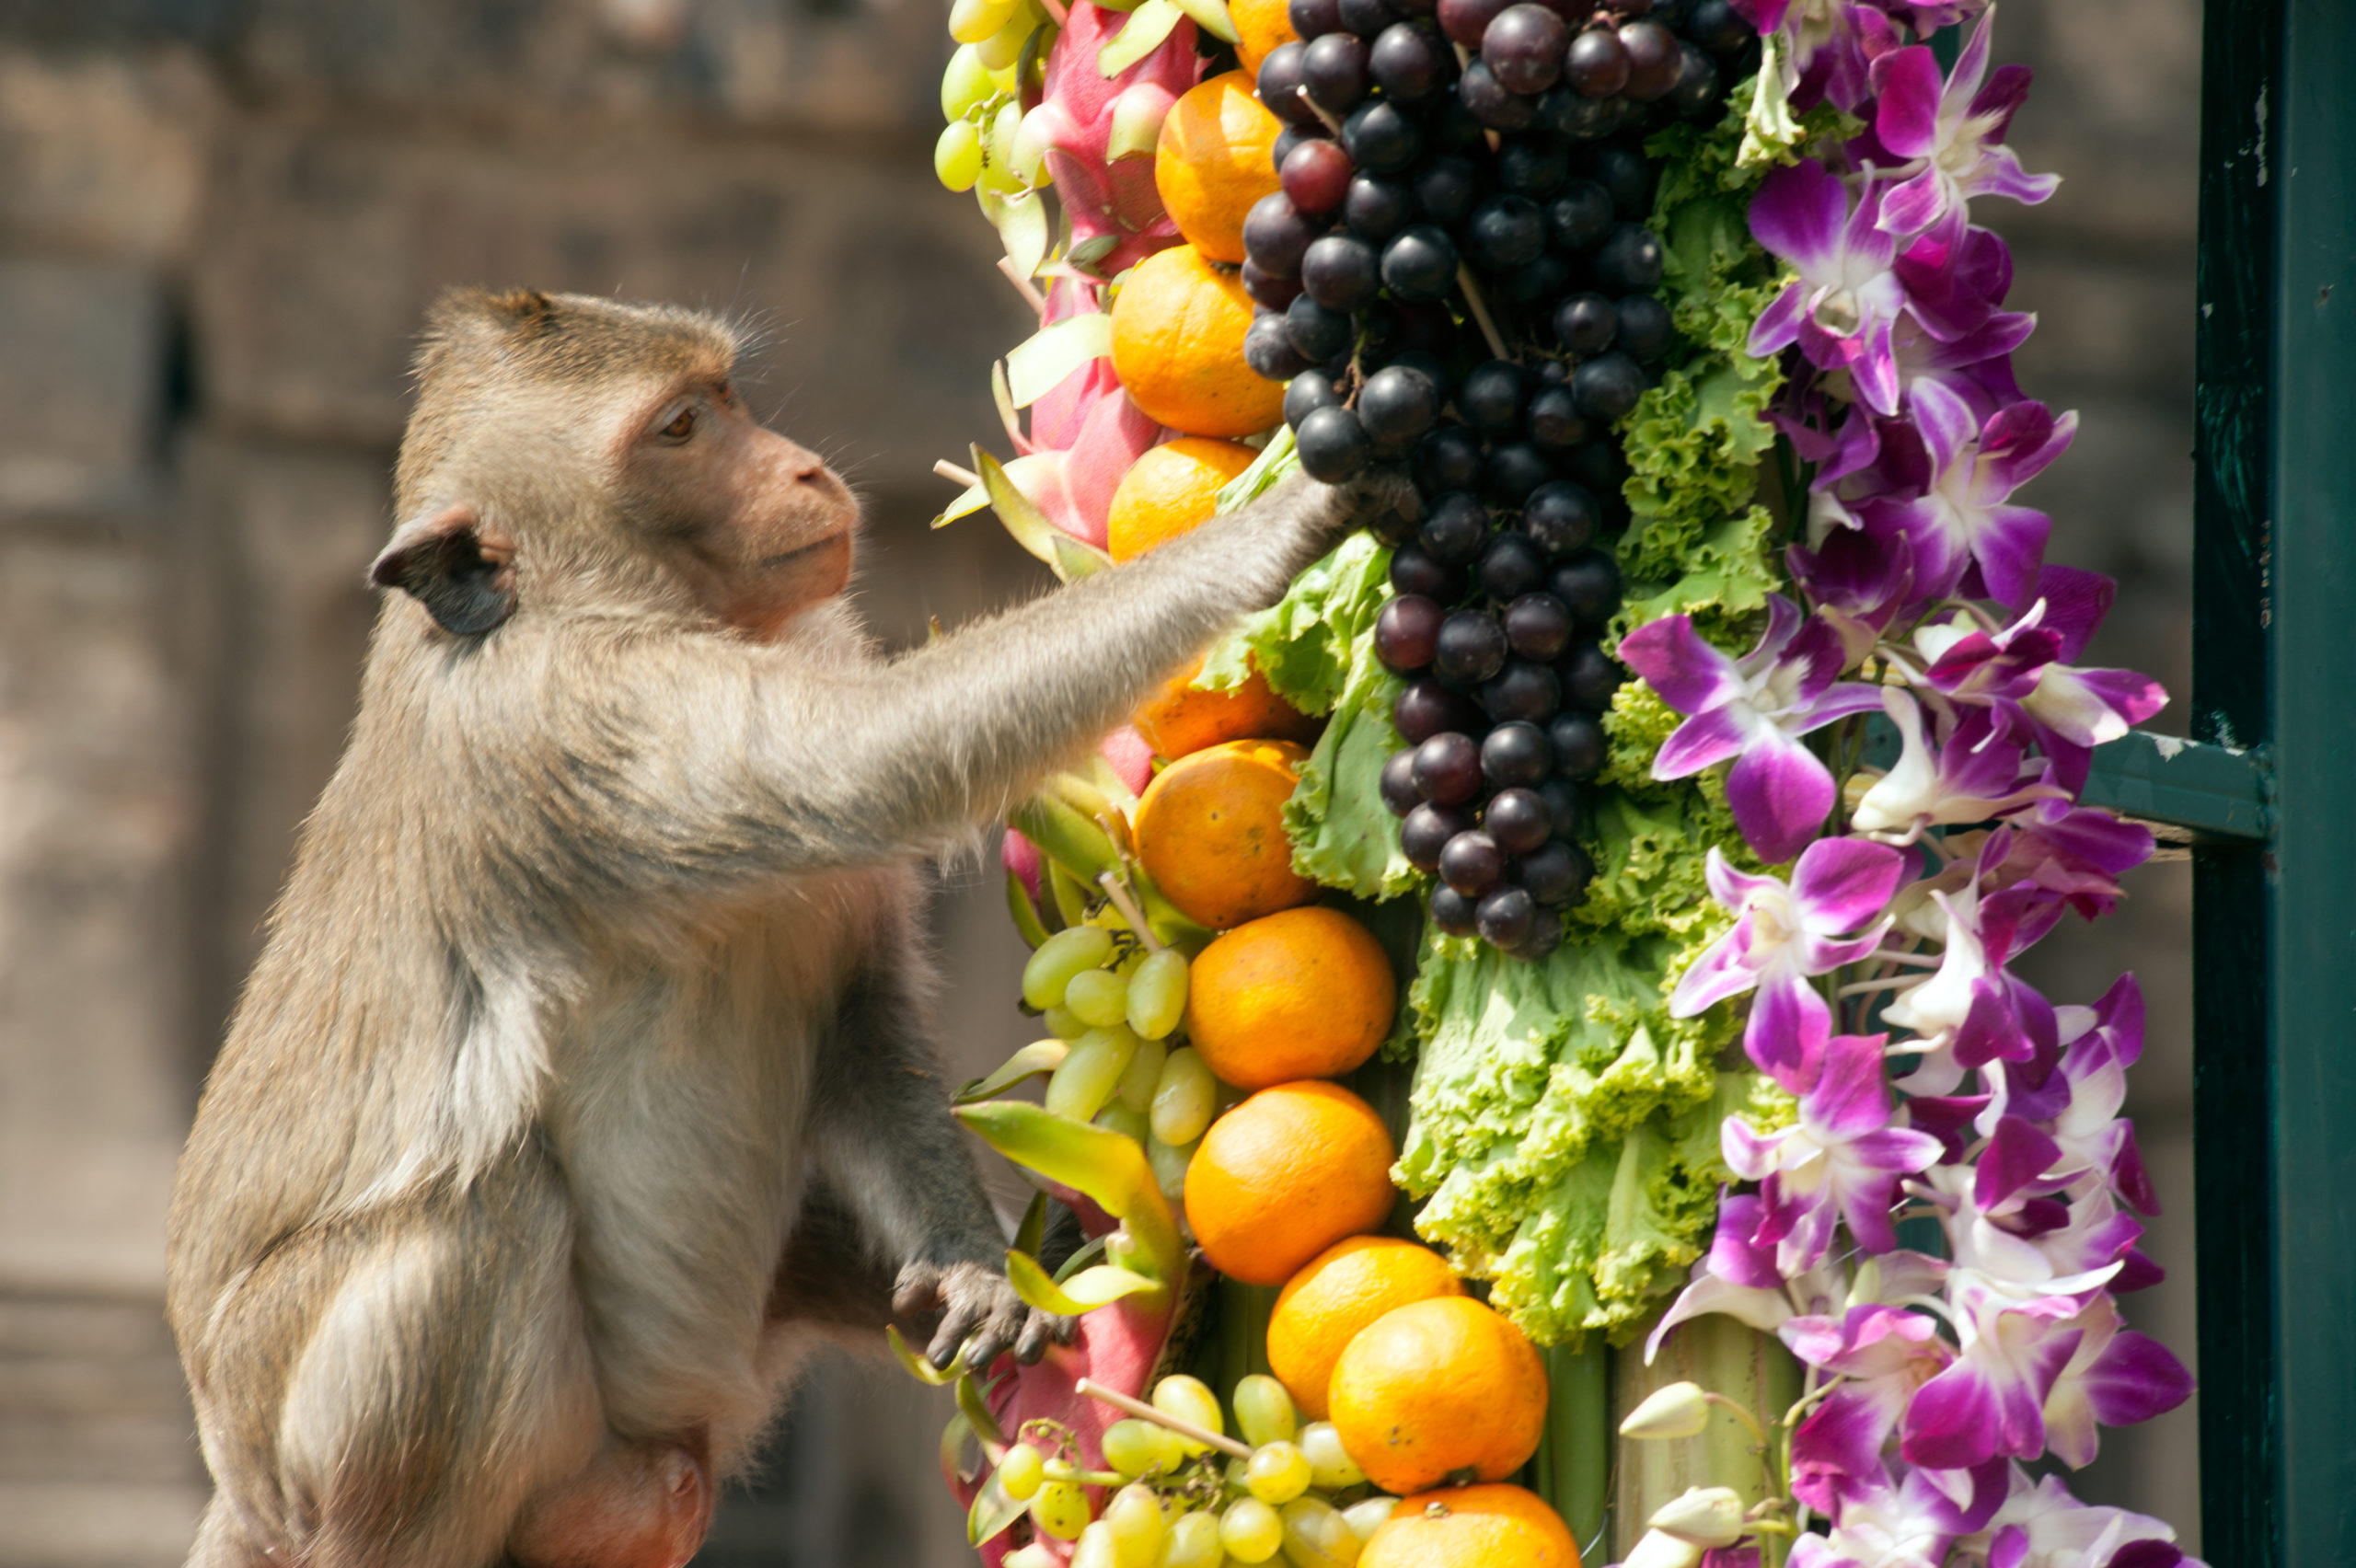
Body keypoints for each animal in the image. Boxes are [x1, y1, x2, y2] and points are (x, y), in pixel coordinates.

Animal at [170, 283, 1394, 1562]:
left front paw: (976, 1269)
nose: (801, 469)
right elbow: (875, 760)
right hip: (317, 1451)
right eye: (676, 430)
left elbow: (859, 1005)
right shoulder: (579, 719)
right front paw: (1290, 519)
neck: (578, 605)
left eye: (724, 399)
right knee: (471, 1227)